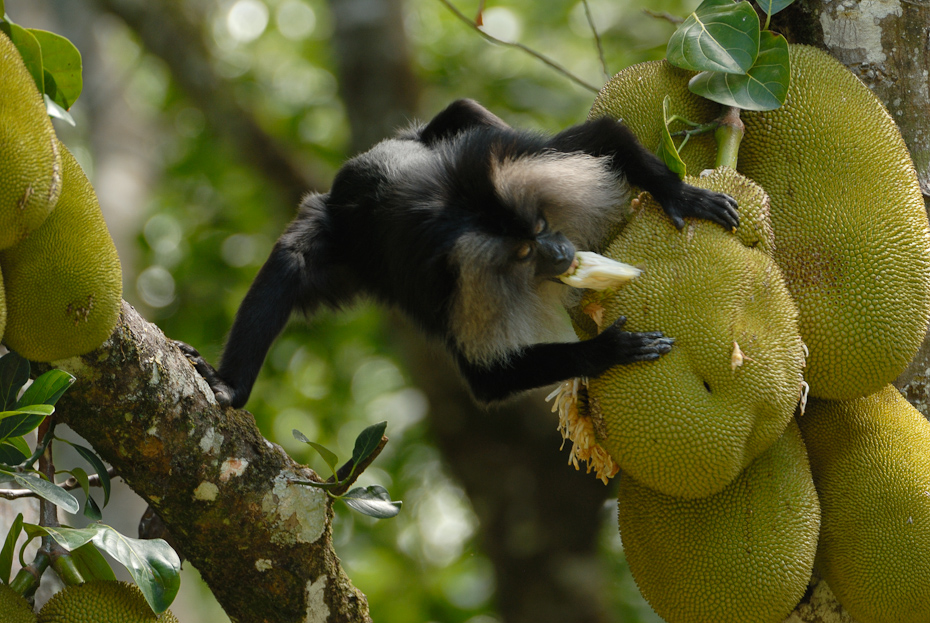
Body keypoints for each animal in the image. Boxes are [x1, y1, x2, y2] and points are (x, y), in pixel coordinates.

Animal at [178, 100, 736, 408]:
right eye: (525, 249)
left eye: (540, 226)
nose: (562, 251)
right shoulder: (447, 285)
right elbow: (486, 379)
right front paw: (607, 351)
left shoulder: (510, 159)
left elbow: (604, 134)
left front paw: (680, 195)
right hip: (334, 230)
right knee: (293, 257)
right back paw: (231, 388)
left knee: (466, 113)